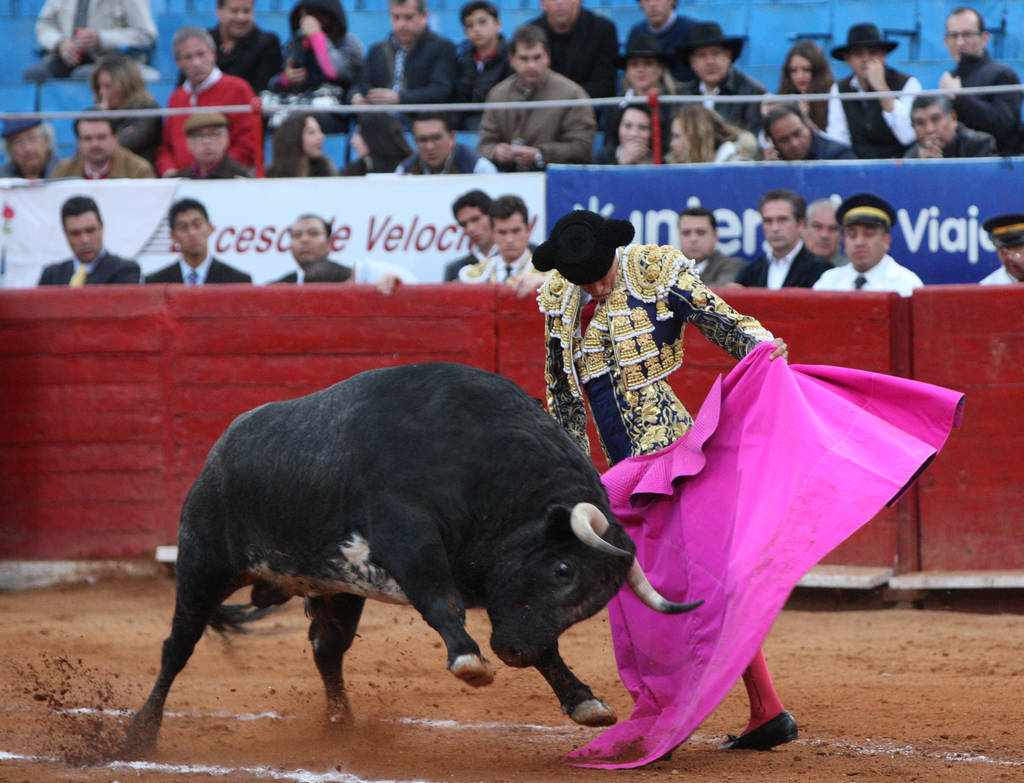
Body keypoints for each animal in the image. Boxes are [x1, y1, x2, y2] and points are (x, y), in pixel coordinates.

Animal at [123, 360, 700, 753]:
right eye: (563, 570)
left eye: (595, 604)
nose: (511, 652)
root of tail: (220, 449)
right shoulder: (409, 539)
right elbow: (443, 602)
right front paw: (470, 662)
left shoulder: (503, 597)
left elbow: (546, 647)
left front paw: (585, 702)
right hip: (203, 563)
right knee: (177, 647)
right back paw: (140, 734)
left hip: (336, 589)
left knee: (326, 652)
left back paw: (342, 728)